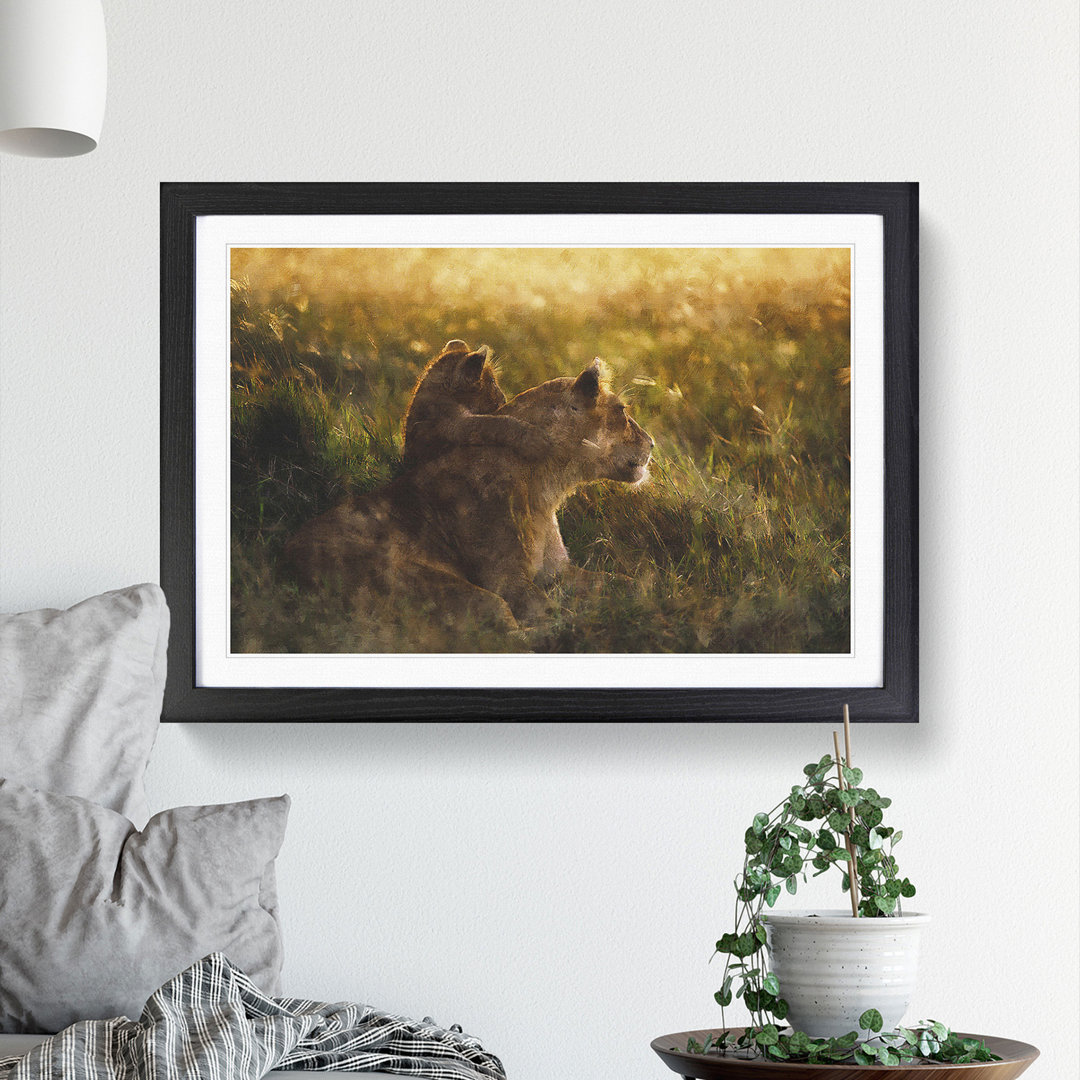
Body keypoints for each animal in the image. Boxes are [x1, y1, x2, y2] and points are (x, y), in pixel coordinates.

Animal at [285, 358, 653, 633]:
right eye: (622, 411)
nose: (651, 444)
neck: (548, 485)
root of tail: (284, 560)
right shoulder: (507, 582)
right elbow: (552, 610)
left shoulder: (557, 572)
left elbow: (630, 582)